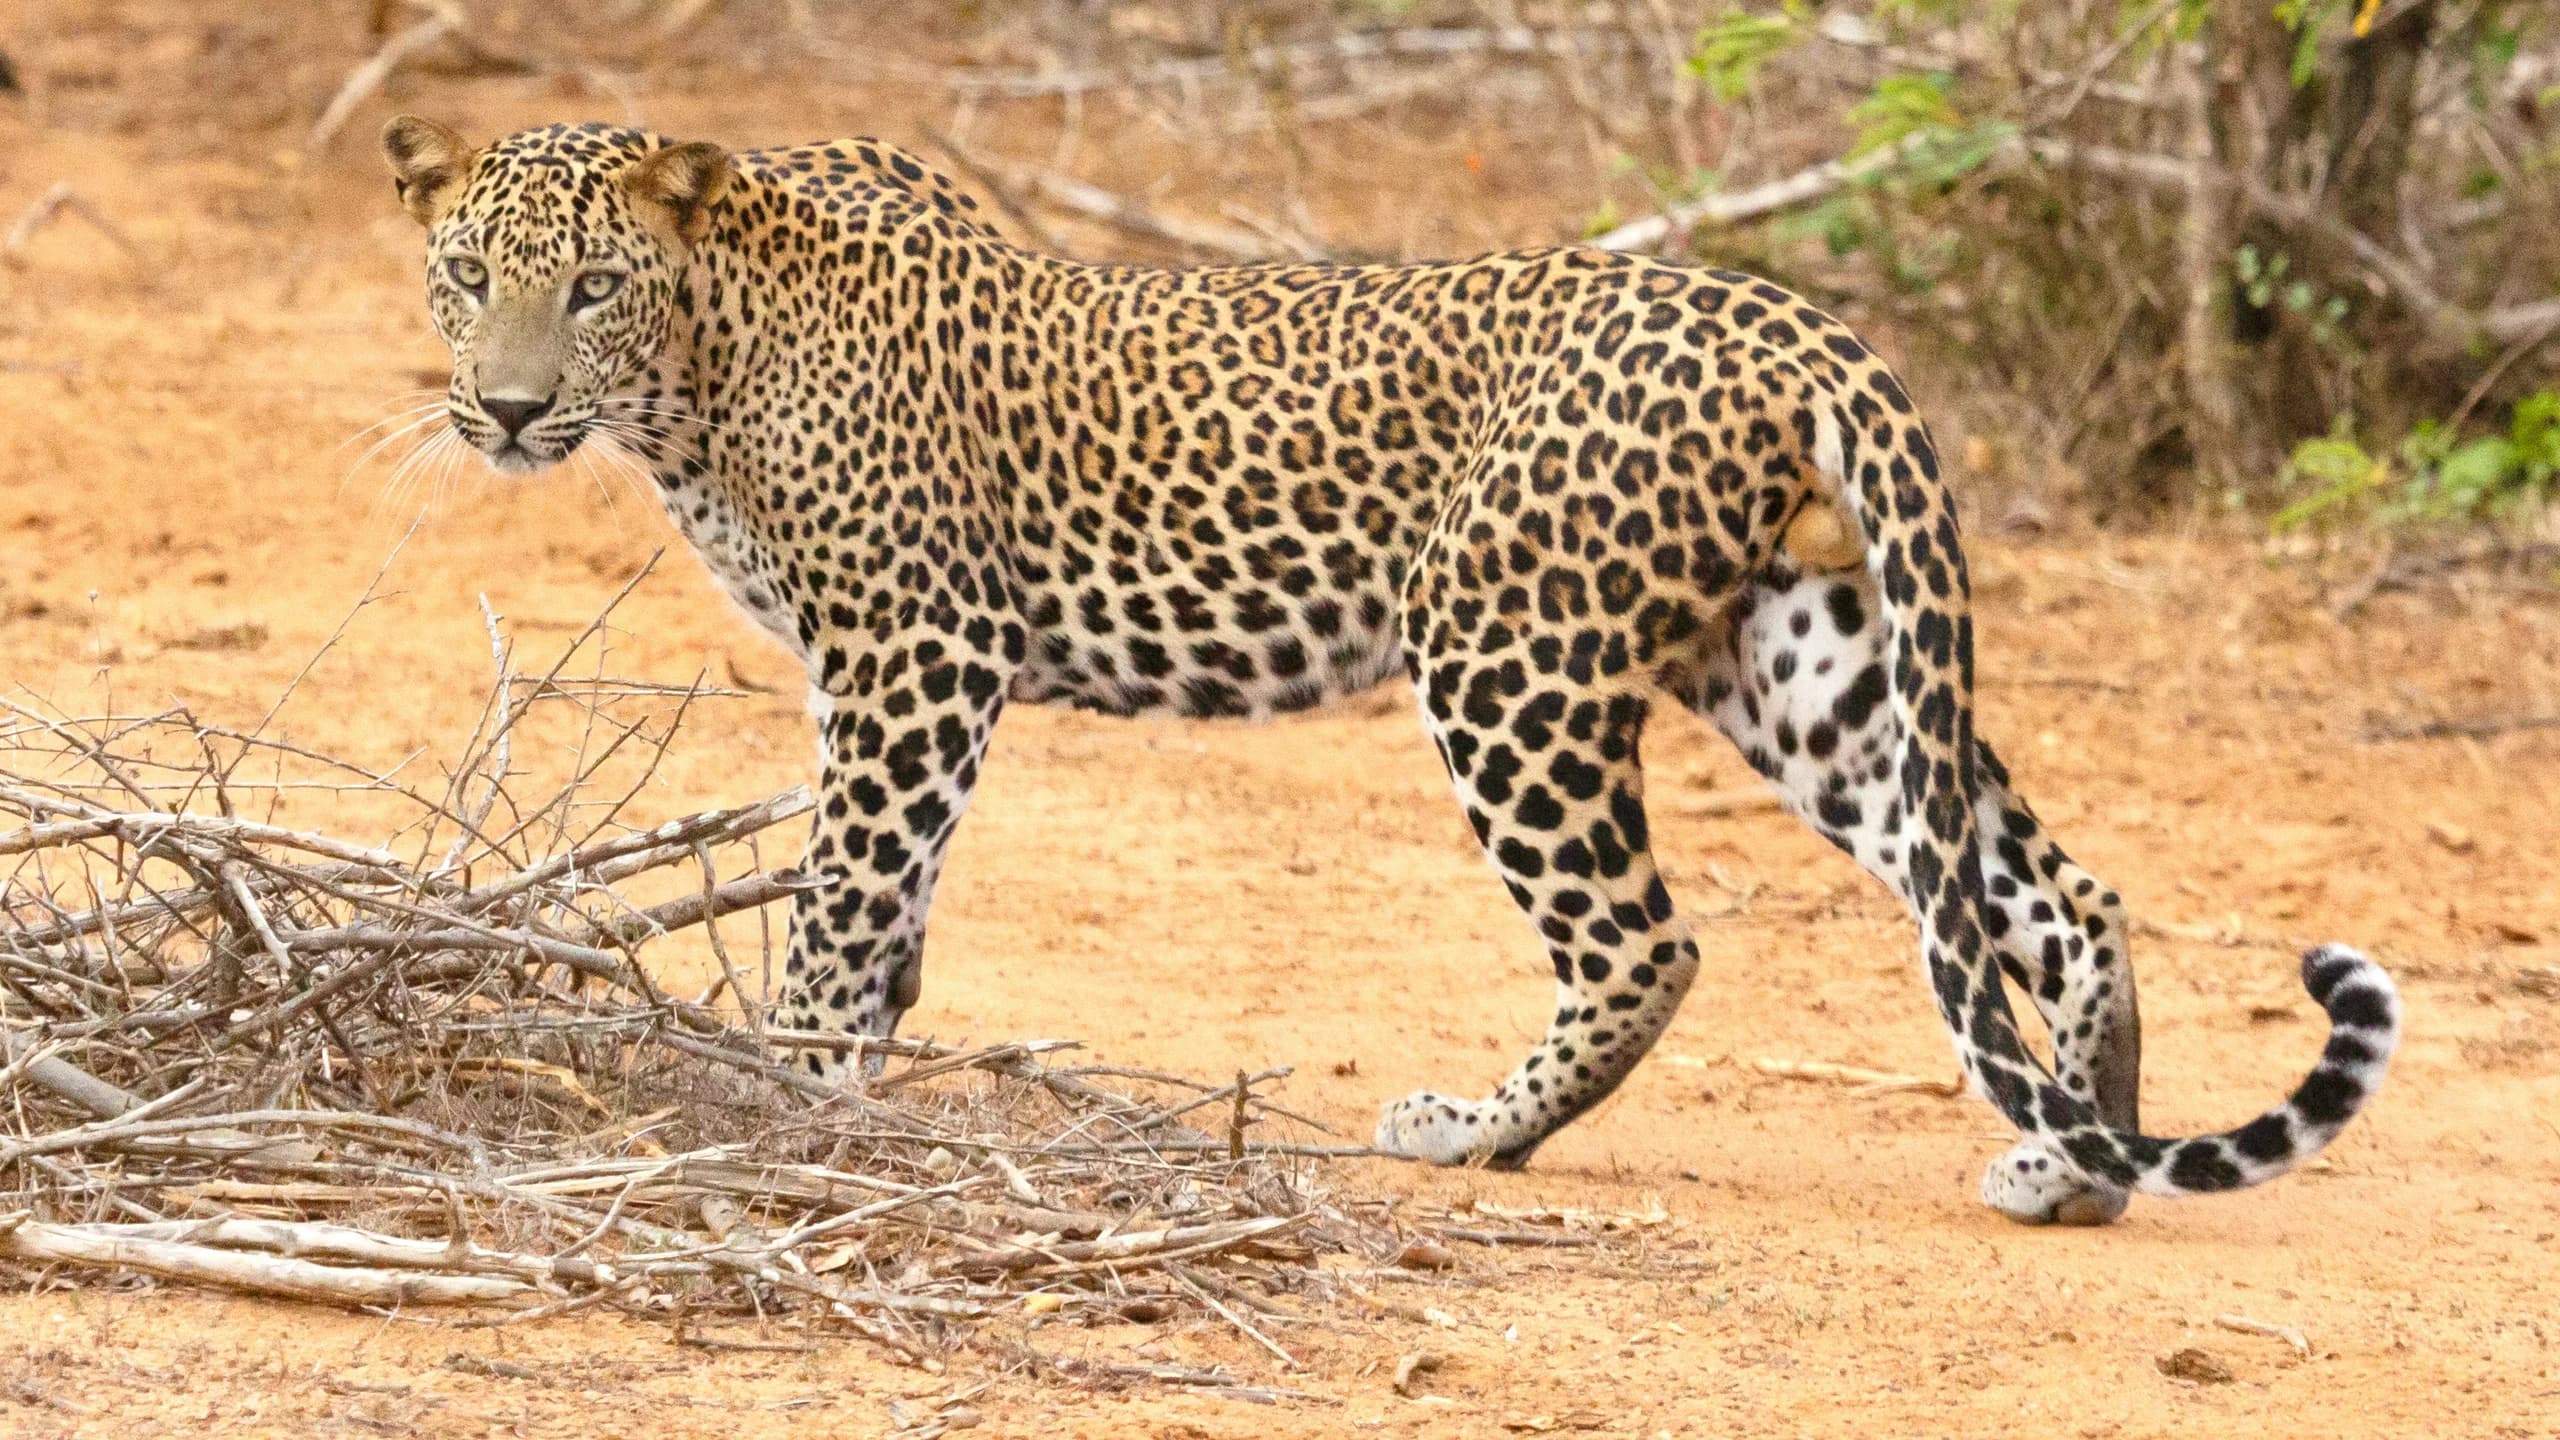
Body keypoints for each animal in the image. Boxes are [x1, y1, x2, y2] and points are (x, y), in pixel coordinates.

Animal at [380, 116, 2402, 1225]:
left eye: (591, 289)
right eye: (466, 273)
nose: (507, 409)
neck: (700, 371)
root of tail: (1789, 315)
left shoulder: (916, 649)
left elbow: (843, 891)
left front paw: (788, 1093)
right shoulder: (893, 673)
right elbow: (891, 905)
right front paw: (852, 1076)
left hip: (1504, 649)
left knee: (1648, 941)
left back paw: (1467, 1136)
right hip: (1805, 663)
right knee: (2041, 896)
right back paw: (2078, 1161)